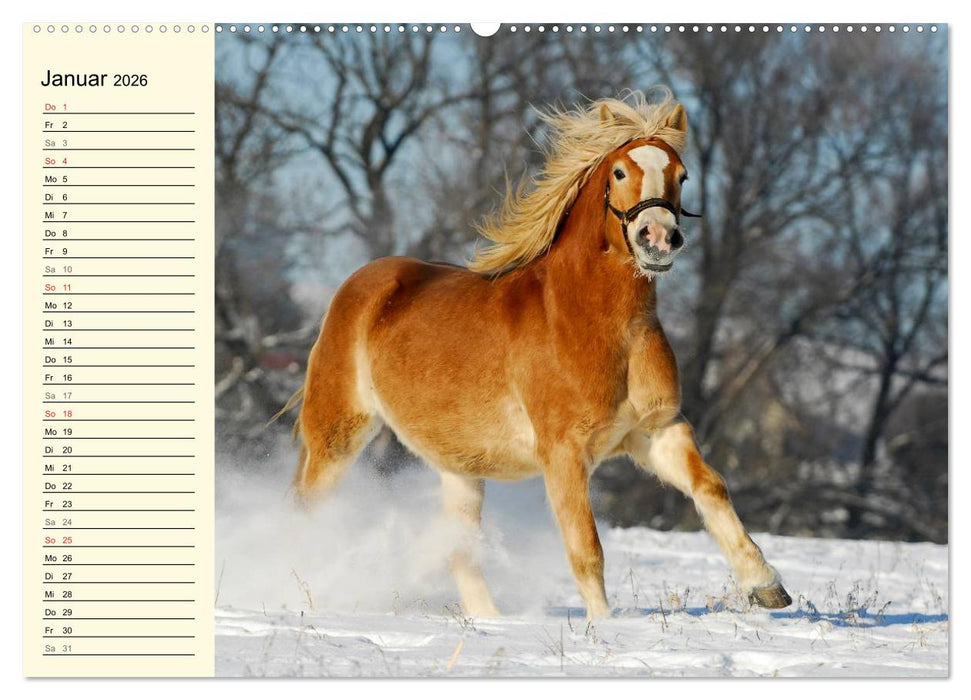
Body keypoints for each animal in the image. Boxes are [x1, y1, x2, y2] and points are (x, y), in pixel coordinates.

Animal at [280, 90, 792, 620]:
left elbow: (710, 486)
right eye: (620, 172)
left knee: (461, 552)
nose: (658, 239)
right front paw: (604, 627)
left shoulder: (658, 431)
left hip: (460, 468)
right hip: (338, 433)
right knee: (306, 510)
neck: (601, 325)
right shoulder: (563, 453)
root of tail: (360, 284)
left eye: (682, 174)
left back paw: (490, 621)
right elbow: (586, 548)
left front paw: (767, 587)